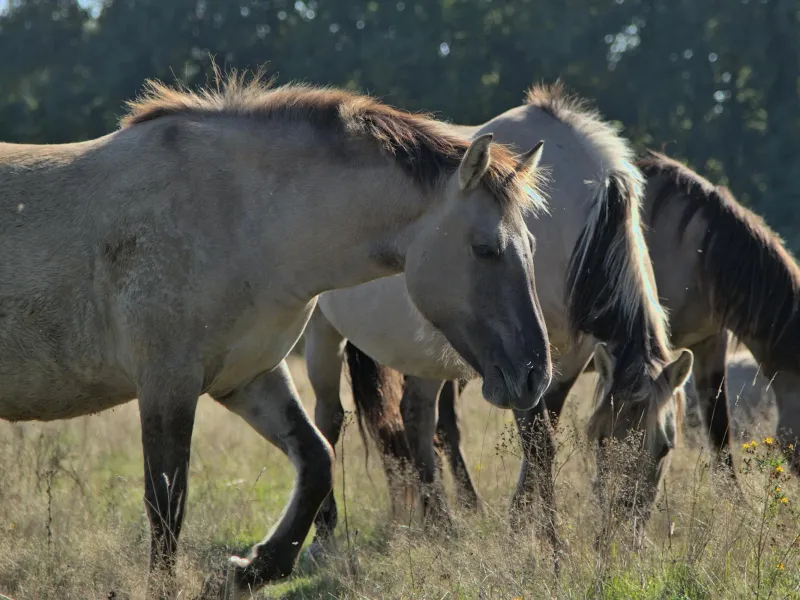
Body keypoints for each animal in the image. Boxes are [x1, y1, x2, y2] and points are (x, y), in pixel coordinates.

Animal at [0, 71, 552, 600]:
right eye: (485, 249)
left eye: (532, 244)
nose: (534, 375)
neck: (239, 218)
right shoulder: (166, 385)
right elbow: (166, 506)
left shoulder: (248, 377)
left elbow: (317, 461)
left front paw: (249, 570)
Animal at [304, 82, 692, 560]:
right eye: (601, 439)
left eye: (664, 448)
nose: (620, 537)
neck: (582, 226)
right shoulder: (525, 361)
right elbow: (539, 445)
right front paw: (548, 543)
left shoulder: (560, 363)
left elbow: (541, 440)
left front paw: (519, 526)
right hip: (322, 333)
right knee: (329, 418)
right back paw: (325, 532)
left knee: (417, 417)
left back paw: (442, 524)